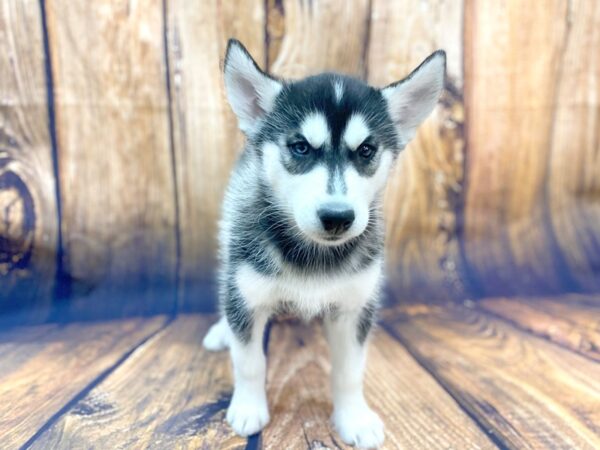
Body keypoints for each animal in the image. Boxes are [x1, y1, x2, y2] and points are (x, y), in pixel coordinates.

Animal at [204, 40, 442, 448]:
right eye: (300, 147)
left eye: (366, 150)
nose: (337, 216)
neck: (313, 256)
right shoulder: (249, 294)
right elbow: (249, 362)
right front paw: (248, 408)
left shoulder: (354, 308)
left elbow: (350, 372)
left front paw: (354, 418)